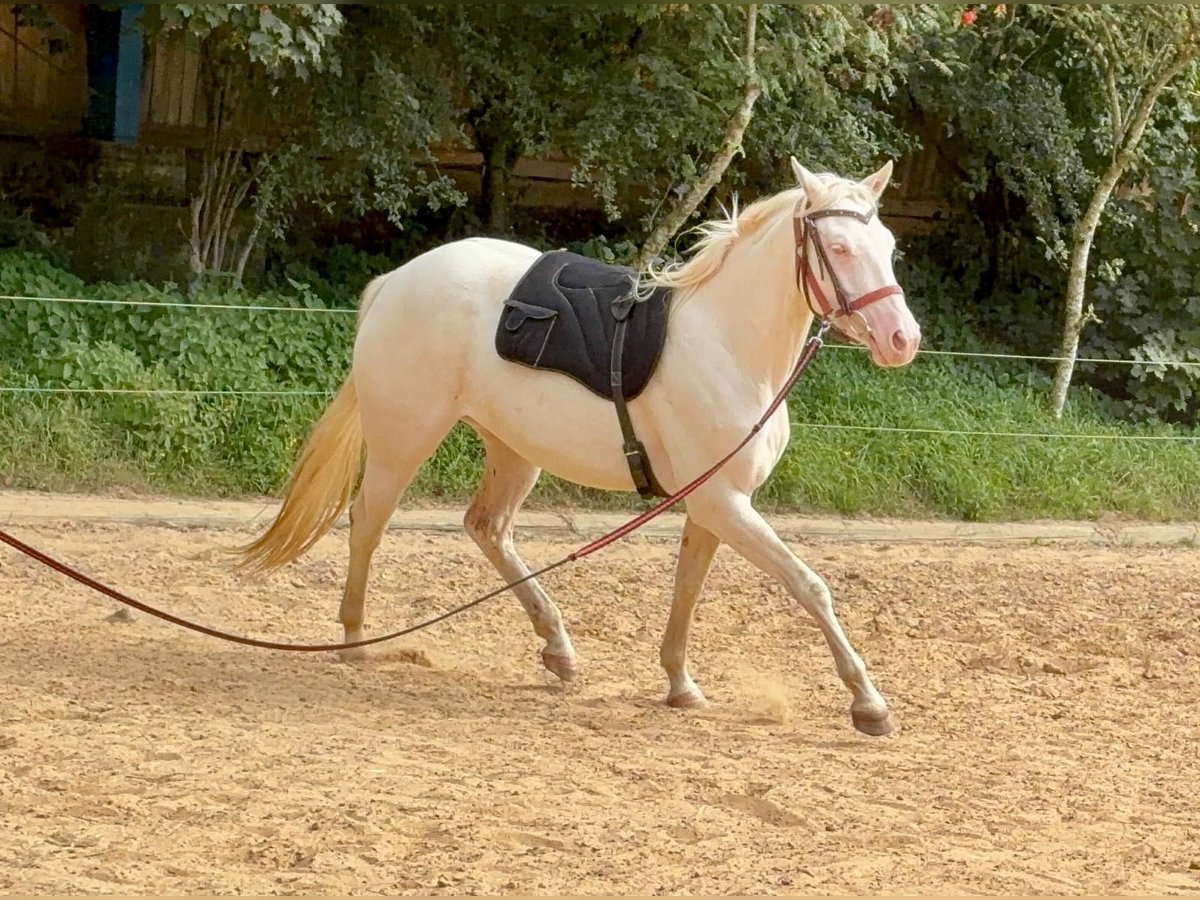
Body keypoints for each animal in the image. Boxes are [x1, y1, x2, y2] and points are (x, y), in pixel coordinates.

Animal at [237, 157, 922, 736]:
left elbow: (688, 589)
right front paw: (869, 704)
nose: (902, 339)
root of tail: (398, 281)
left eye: (888, 248)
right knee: (368, 523)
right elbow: (810, 586)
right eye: (839, 248)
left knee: (487, 528)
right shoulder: (725, 503)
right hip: (404, 439)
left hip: (514, 451)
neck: (726, 344)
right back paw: (355, 639)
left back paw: (558, 649)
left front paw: (679, 683)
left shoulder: (714, 504)